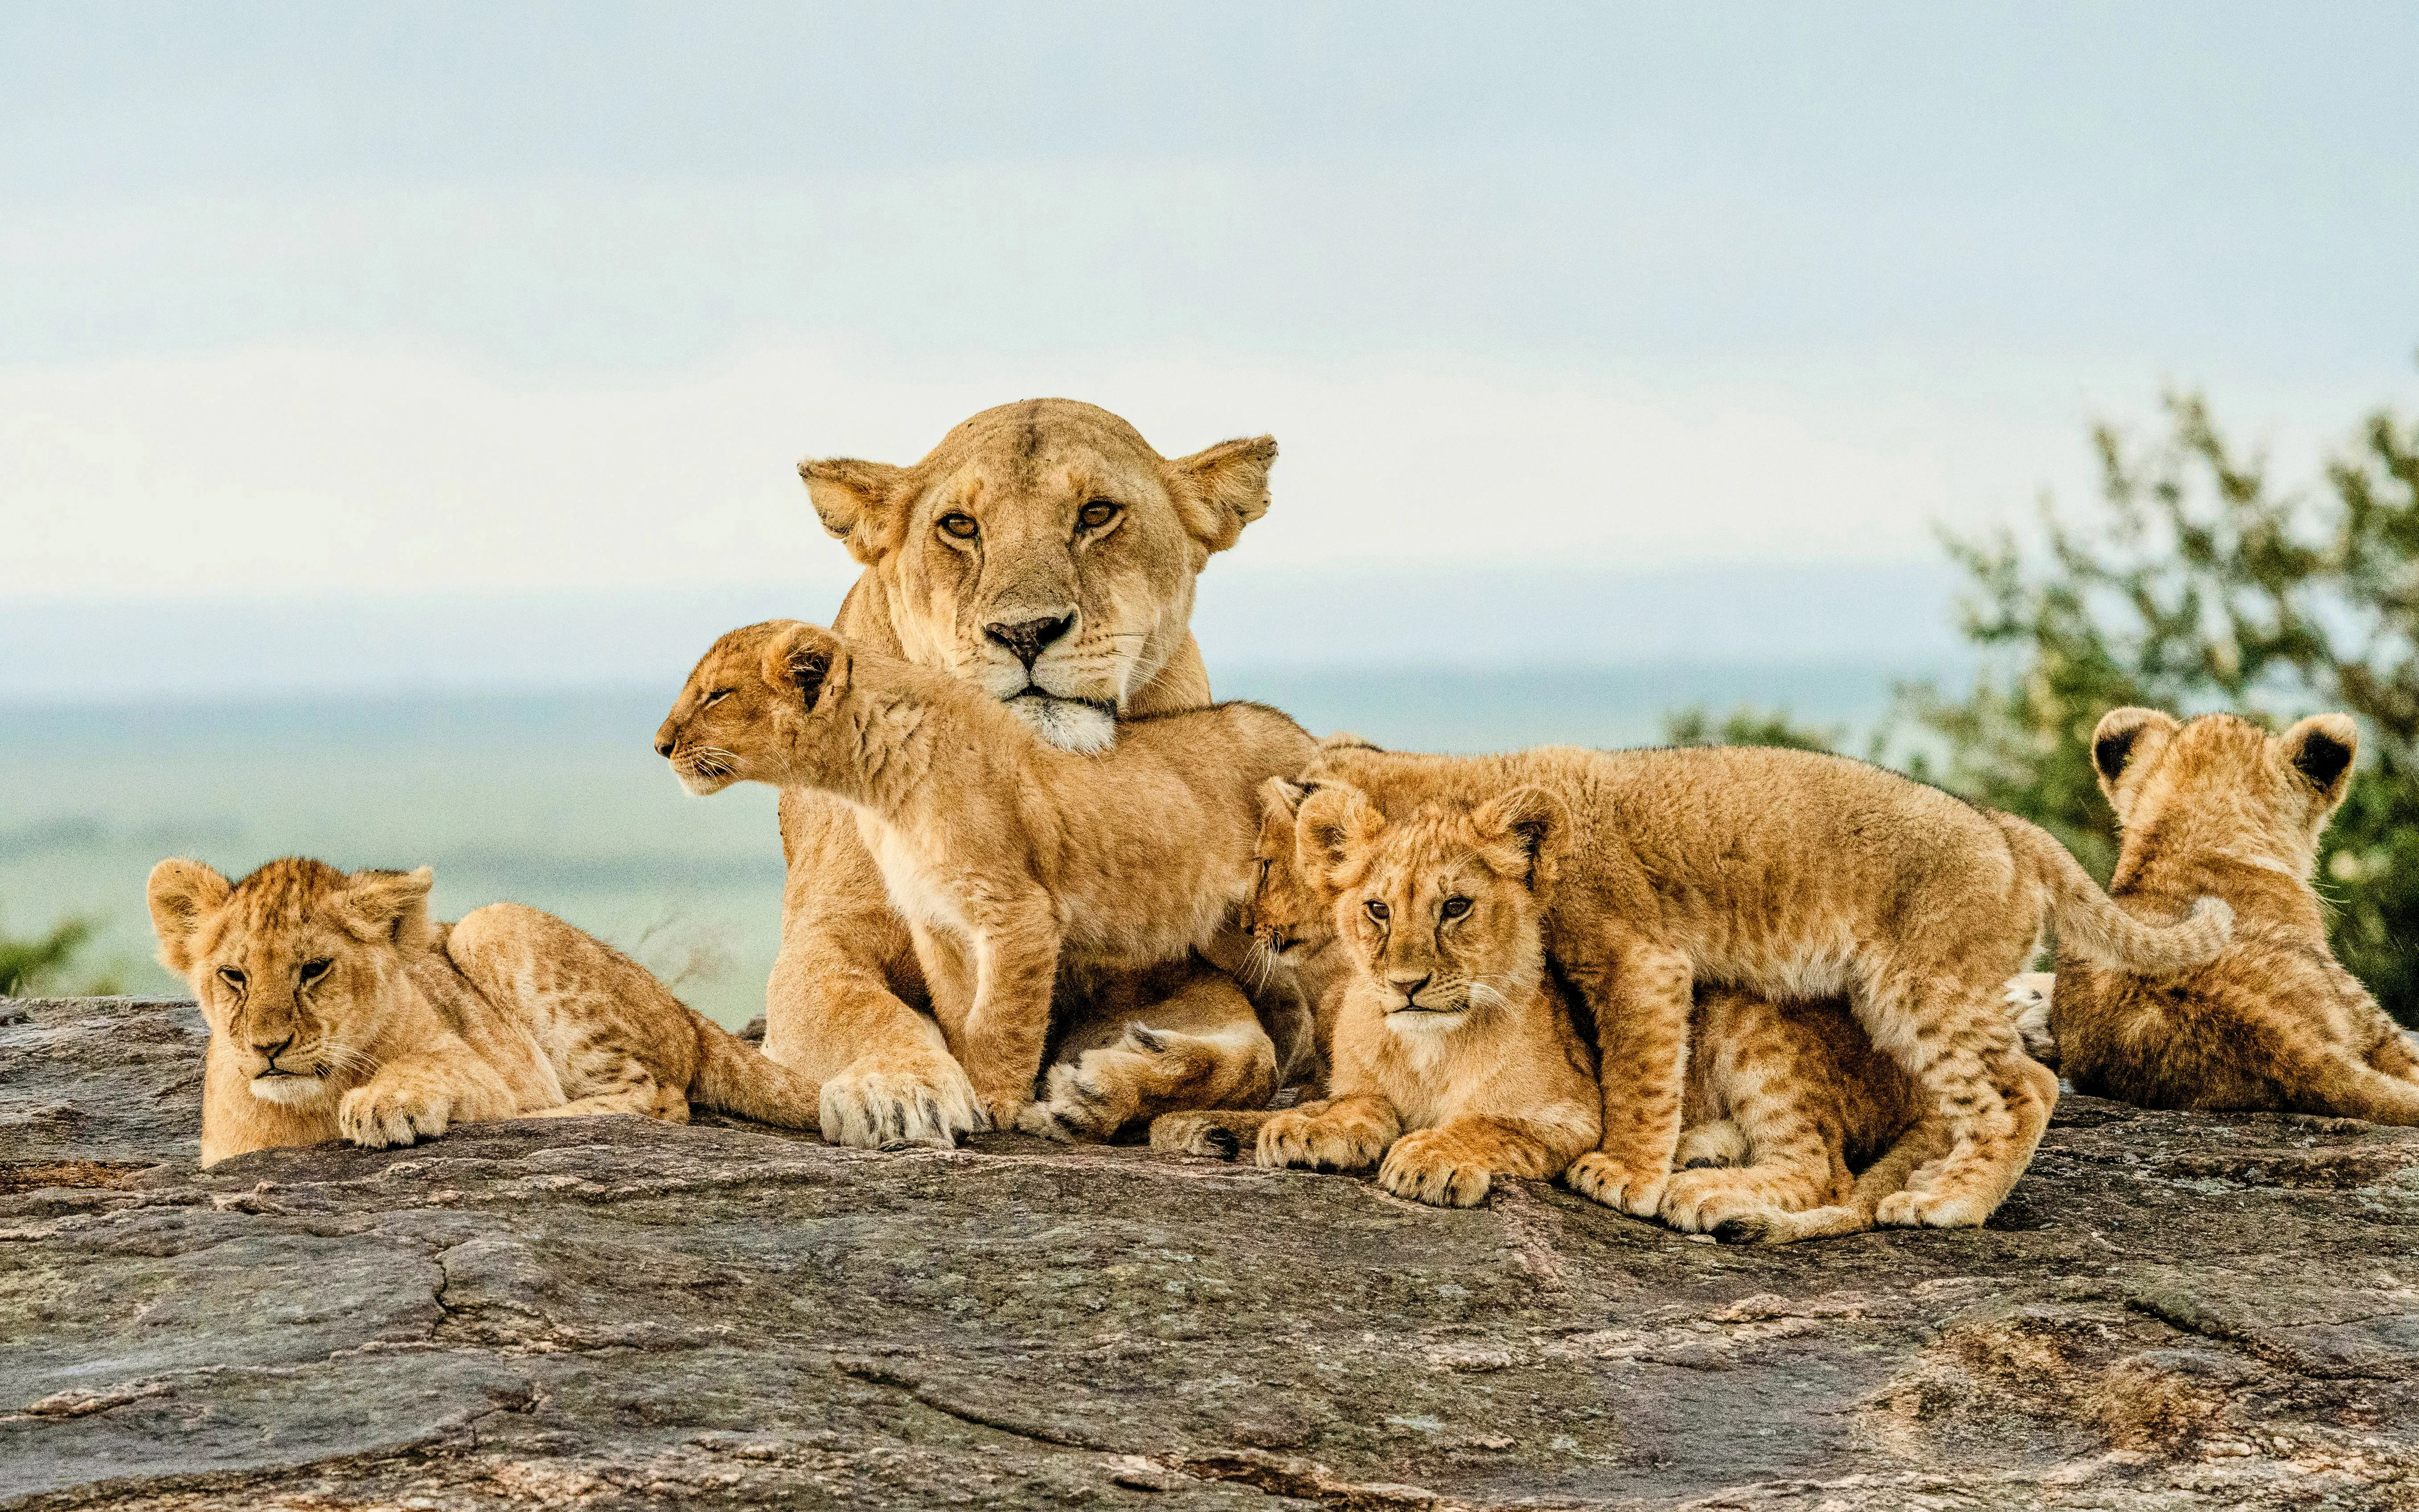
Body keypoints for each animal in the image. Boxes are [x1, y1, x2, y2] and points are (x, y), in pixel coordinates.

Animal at [147, 856, 820, 1167]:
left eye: (314, 969)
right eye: (233, 976)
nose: (268, 1047)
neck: (304, 1109)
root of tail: (682, 1009)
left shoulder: (480, 1070)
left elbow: (429, 1067)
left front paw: (382, 1103)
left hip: (489, 925)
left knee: (657, 1098)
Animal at [655, 619, 1317, 1135]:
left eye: (716, 695)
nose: (660, 745)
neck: (876, 782)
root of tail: (1312, 738)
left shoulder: (1018, 912)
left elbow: (1002, 1018)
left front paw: (996, 1102)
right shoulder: (936, 920)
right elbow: (957, 1015)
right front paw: (966, 1083)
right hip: (1233, 934)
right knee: (1282, 1011)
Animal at [771, 400, 1288, 1148]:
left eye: (1097, 514)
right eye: (960, 526)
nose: (1025, 632)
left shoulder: (1161, 960)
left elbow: (1256, 1058)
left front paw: (1108, 1084)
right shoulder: (826, 932)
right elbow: (852, 1008)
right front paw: (900, 1090)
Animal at [1263, 740, 2219, 1230]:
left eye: (1455, 907)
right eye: (1373, 906)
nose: (1264, 929)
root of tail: (2006, 828)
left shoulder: (1640, 958)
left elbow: (1636, 1076)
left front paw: (1625, 1171)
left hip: (1914, 987)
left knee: (2016, 1088)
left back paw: (1945, 1200)